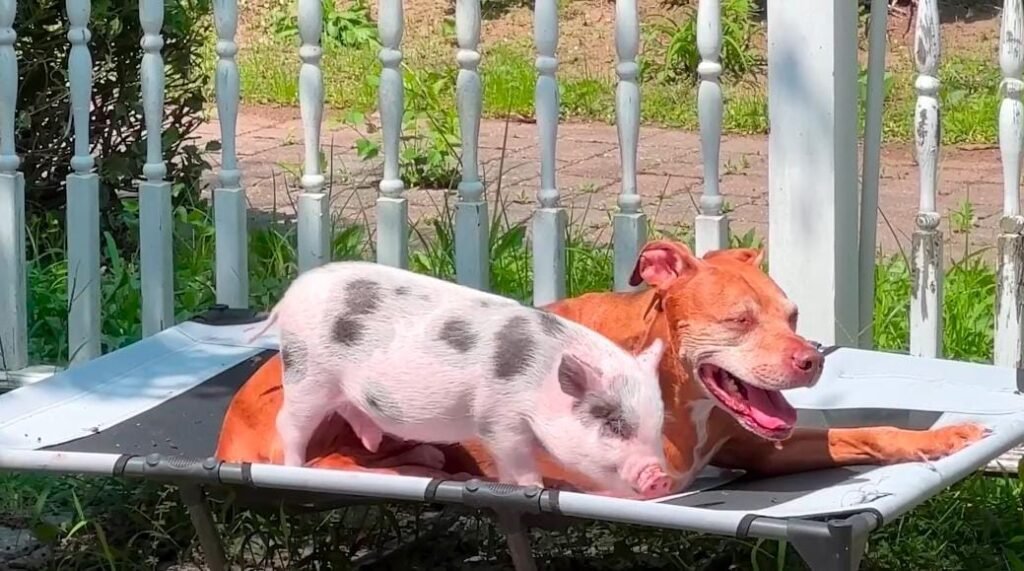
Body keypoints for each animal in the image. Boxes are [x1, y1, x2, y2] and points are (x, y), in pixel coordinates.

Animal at [250, 260, 673, 499]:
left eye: (657, 427)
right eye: (614, 425)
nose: (661, 478)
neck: (539, 381)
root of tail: (291, 293)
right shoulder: (499, 420)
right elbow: (518, 462)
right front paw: (534, 490)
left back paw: (377, 442)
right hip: (307, 372)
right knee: (290, 423)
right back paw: (294, 468)